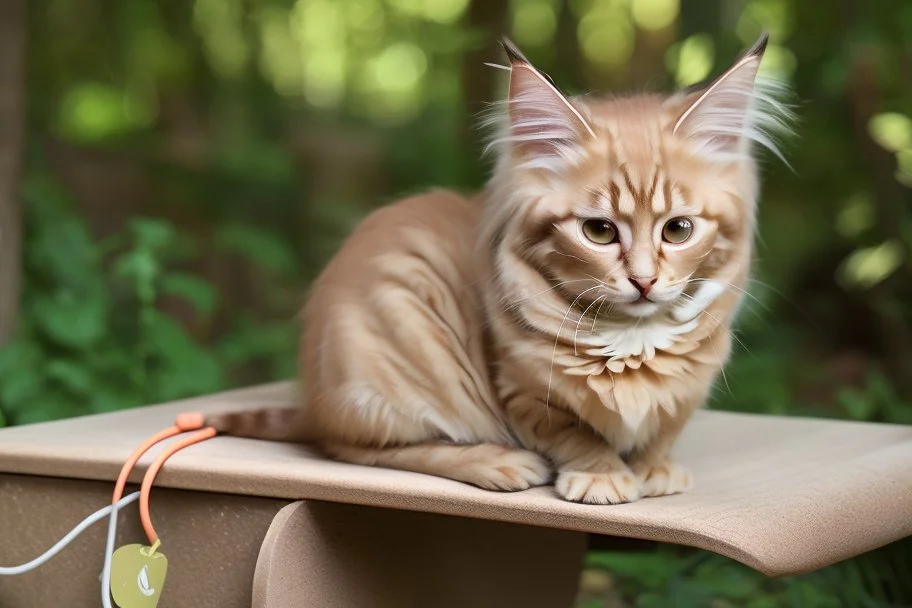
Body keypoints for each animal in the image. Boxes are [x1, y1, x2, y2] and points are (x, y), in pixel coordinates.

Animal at [207, 35, 792, 506]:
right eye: (599, 232)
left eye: (678, 230)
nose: (644, 281)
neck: (632, 337)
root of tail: (315, 399)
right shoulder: (525, 395)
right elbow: (579, 436)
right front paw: (602, 475)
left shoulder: (689, 390)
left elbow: (663, 429)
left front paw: (655, 468)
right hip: (391, 356)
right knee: (356, 449)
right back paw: (497, 462)